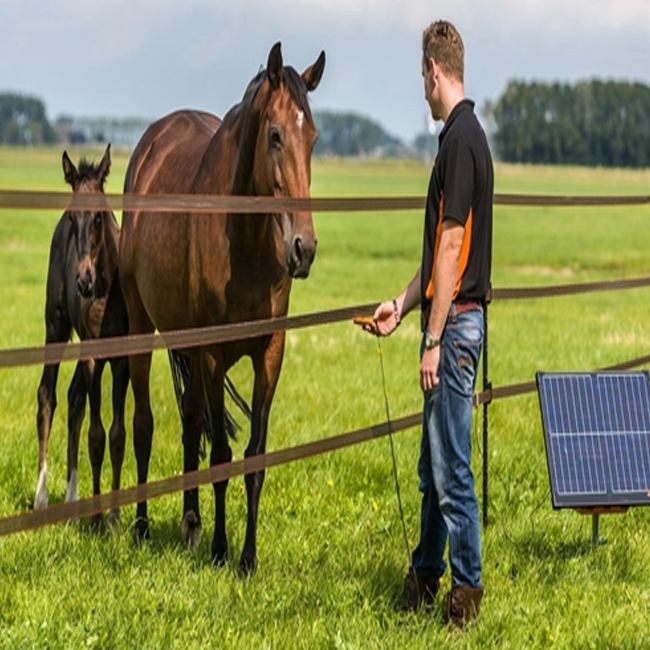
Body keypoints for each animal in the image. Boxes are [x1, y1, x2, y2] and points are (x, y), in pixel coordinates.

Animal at [118, 40, 324, 568]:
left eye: (312, 138)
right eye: (274, 135)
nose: (303, 249)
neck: (245, 241)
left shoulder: (270, 352)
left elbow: (253, 457)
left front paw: (247, 557)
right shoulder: (212, 353)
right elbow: (221, 458)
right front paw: (219, 550)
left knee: (191, 421)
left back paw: (191, 521)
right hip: (143, 327)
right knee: (145, 424)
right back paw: (143, 527)